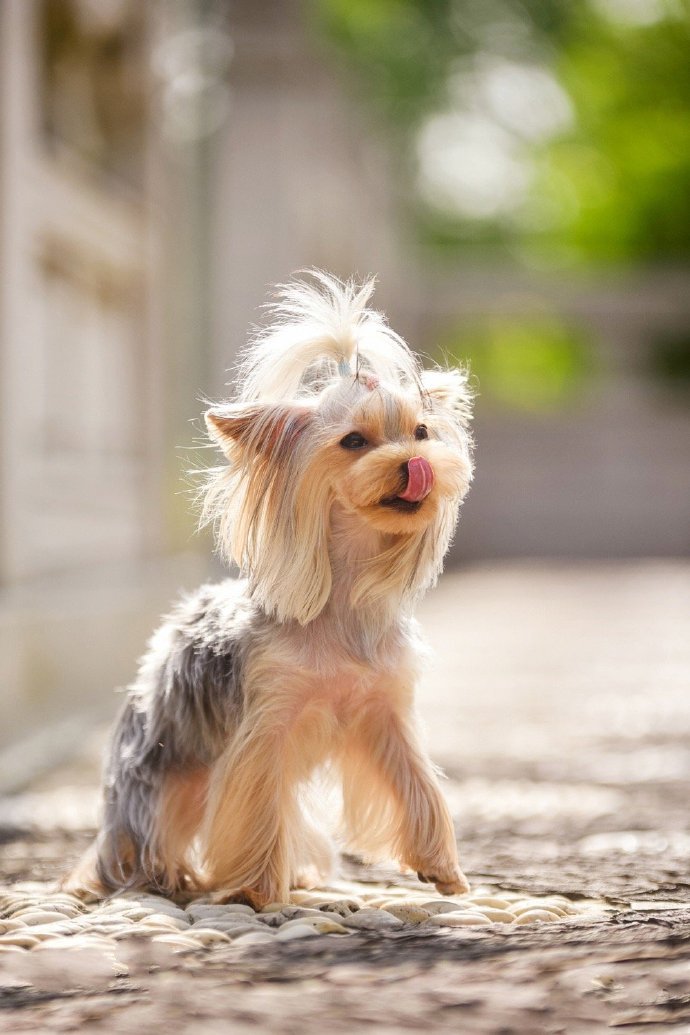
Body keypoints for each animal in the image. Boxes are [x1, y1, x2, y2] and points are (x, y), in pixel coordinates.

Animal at [66, 273, 475, 906]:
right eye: (353, 441)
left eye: (422, 431)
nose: (415, 462)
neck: (343, 593)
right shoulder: (267, 724)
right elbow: (256, 807)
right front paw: (258, 893)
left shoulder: (385, 712)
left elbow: (415, 784)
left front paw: (442, 868)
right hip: (156, 775)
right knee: (145, 836)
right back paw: (159, 876)